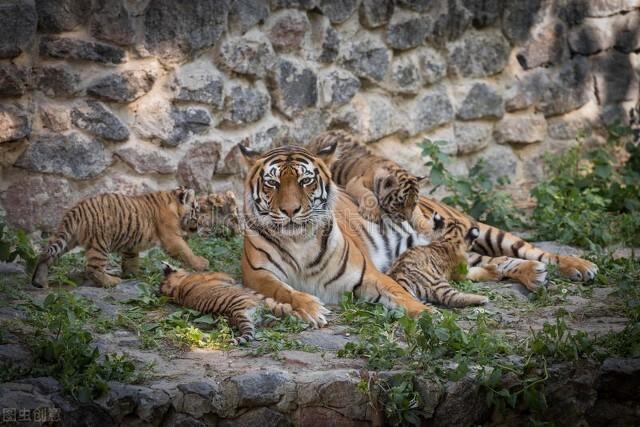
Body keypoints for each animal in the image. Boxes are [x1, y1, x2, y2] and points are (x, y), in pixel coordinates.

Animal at [240, 144, 440, 328]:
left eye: (305, 181)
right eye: (272, 183)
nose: (290, 210)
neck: (299, 241)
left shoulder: (368, 275)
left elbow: (399, 294)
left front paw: (428, 314)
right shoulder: (258, 274)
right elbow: (283, 291)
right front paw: (312, 308)